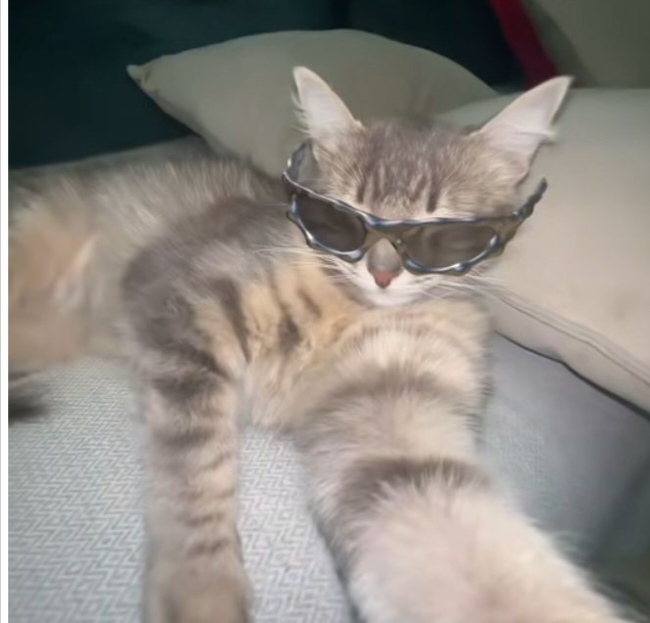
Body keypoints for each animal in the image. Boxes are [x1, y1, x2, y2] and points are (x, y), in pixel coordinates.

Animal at [9, 68, 636, 622]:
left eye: (439, 233)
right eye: (344, 218)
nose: (383, 272)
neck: (347, 312)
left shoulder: (392, 408)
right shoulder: (180, 298)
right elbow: (195, 471)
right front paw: (200, 590)